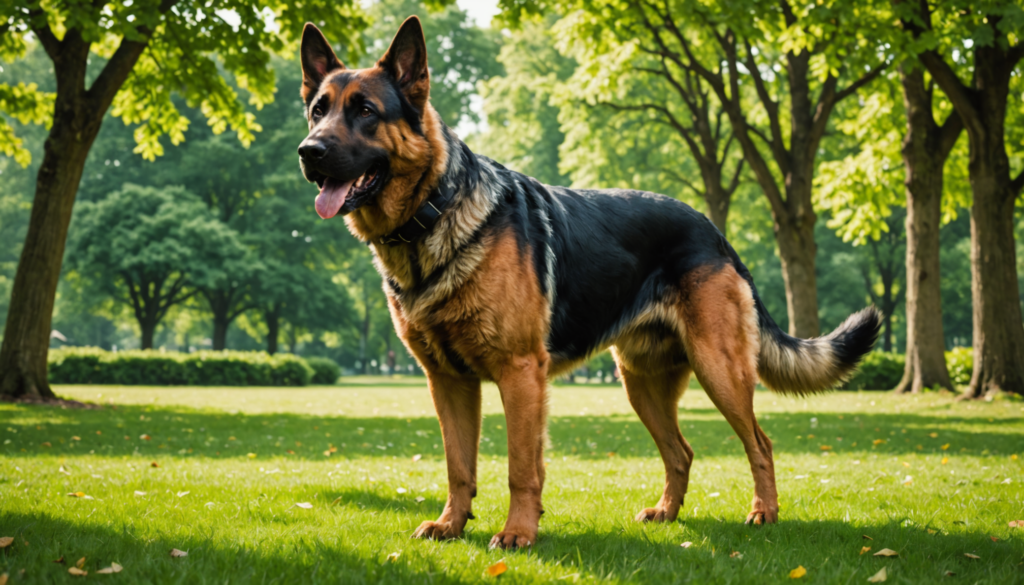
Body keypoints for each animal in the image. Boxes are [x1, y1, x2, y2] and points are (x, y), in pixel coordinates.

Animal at [296, 17, 880, 549]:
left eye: (366, 112)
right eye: (318, 110)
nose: (308, 152)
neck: (434, 209)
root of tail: (715, 232)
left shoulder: (520, 375)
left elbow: (521, 468)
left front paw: (518, 533)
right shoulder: (448, 382)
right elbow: (459, 466)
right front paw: (452, 525)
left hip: (720, 371)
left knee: (760, 443)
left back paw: (764, 513)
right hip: (640, 384)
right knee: (682, 452)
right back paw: (668, 514)